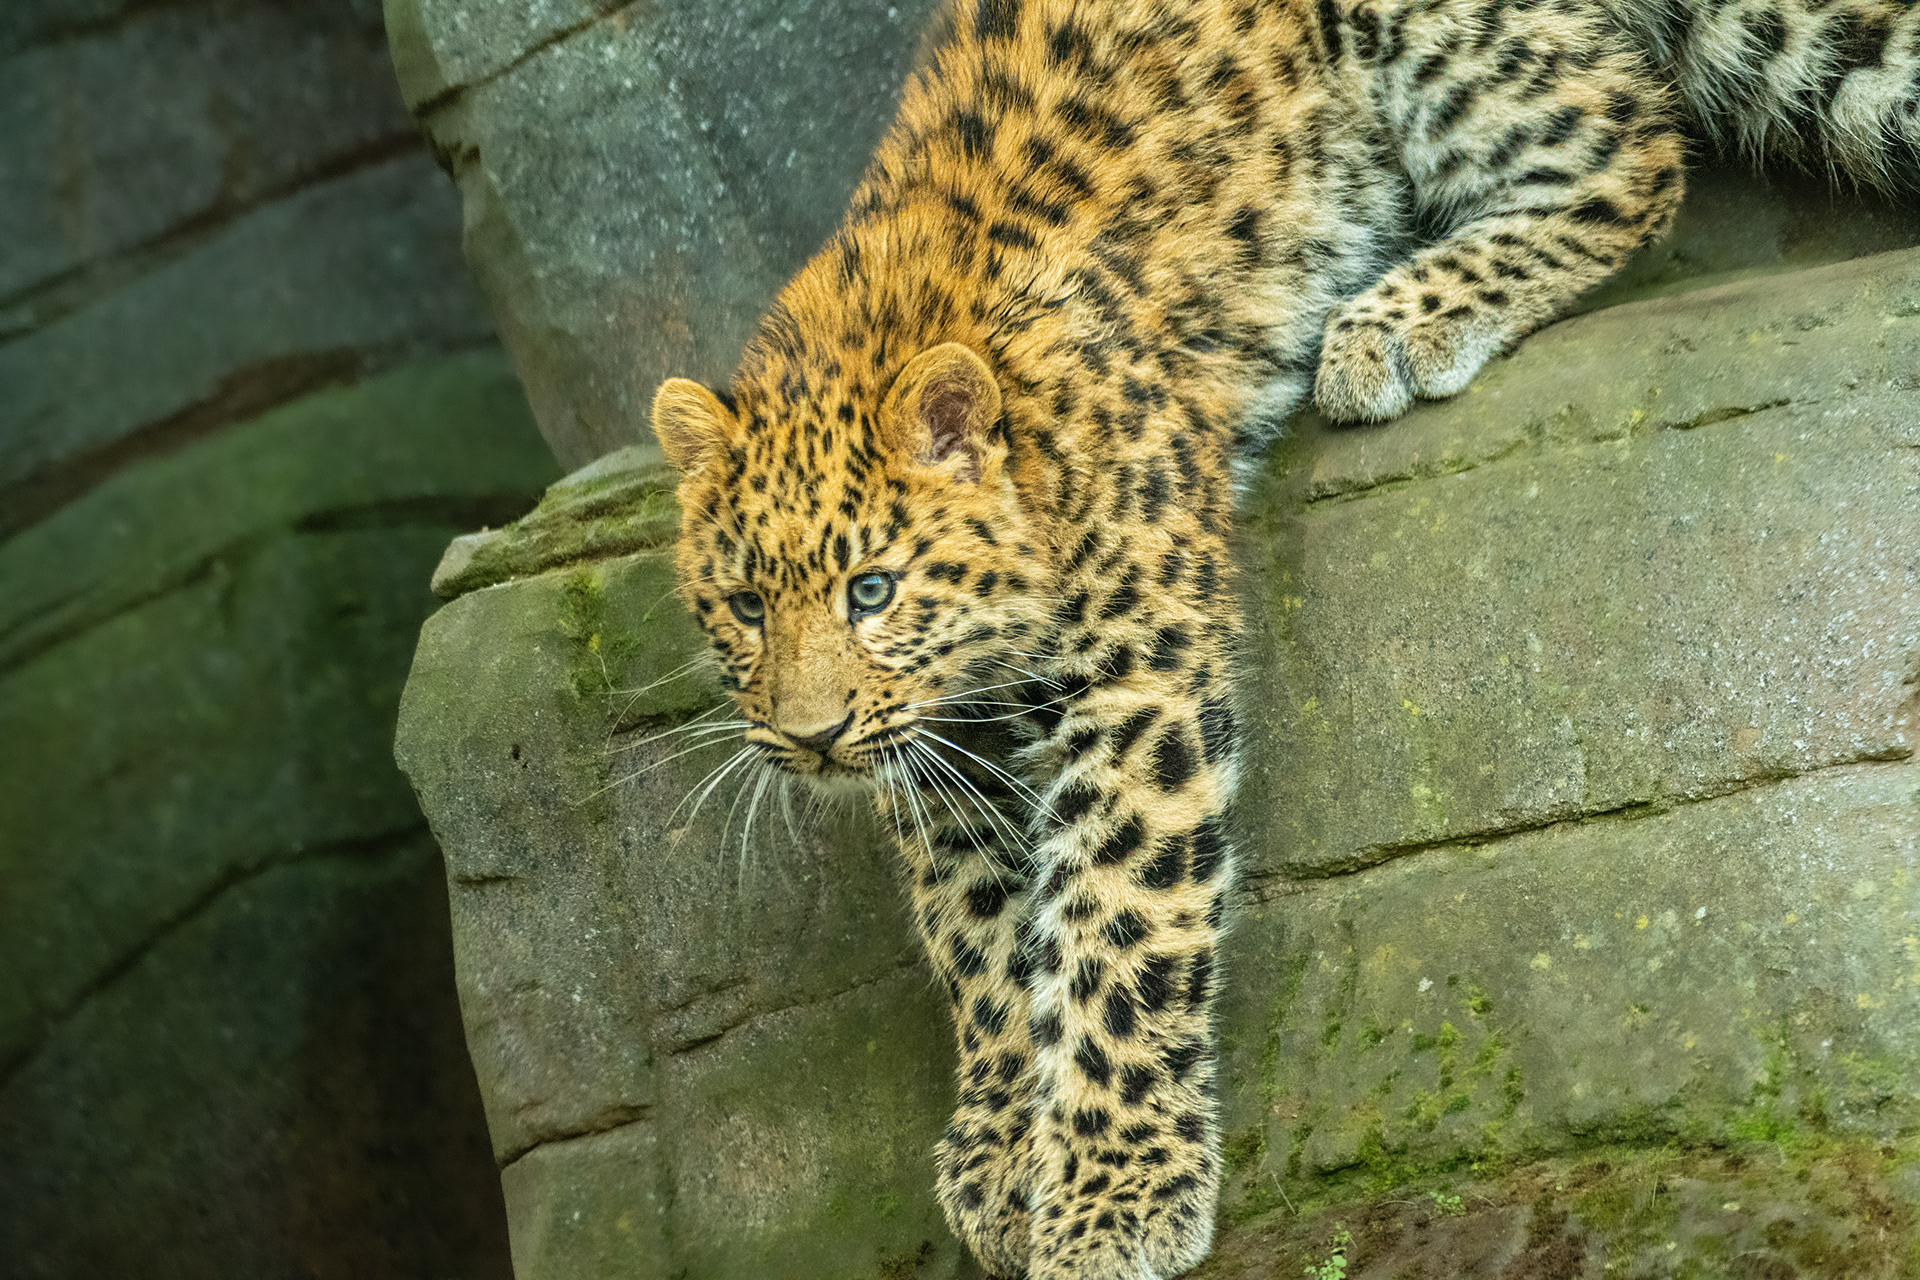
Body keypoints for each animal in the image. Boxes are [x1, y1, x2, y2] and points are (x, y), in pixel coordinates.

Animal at [645, 0, 1920, 1274]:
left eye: (872, 589)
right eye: (747, 605)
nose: (808, 739)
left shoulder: (1136, 677)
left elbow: (1117, 916)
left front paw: (1112, 1197)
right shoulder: (938, 749)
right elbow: (978, 936)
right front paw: (1004, 1147)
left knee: (1631, 147)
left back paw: (1392, 323)